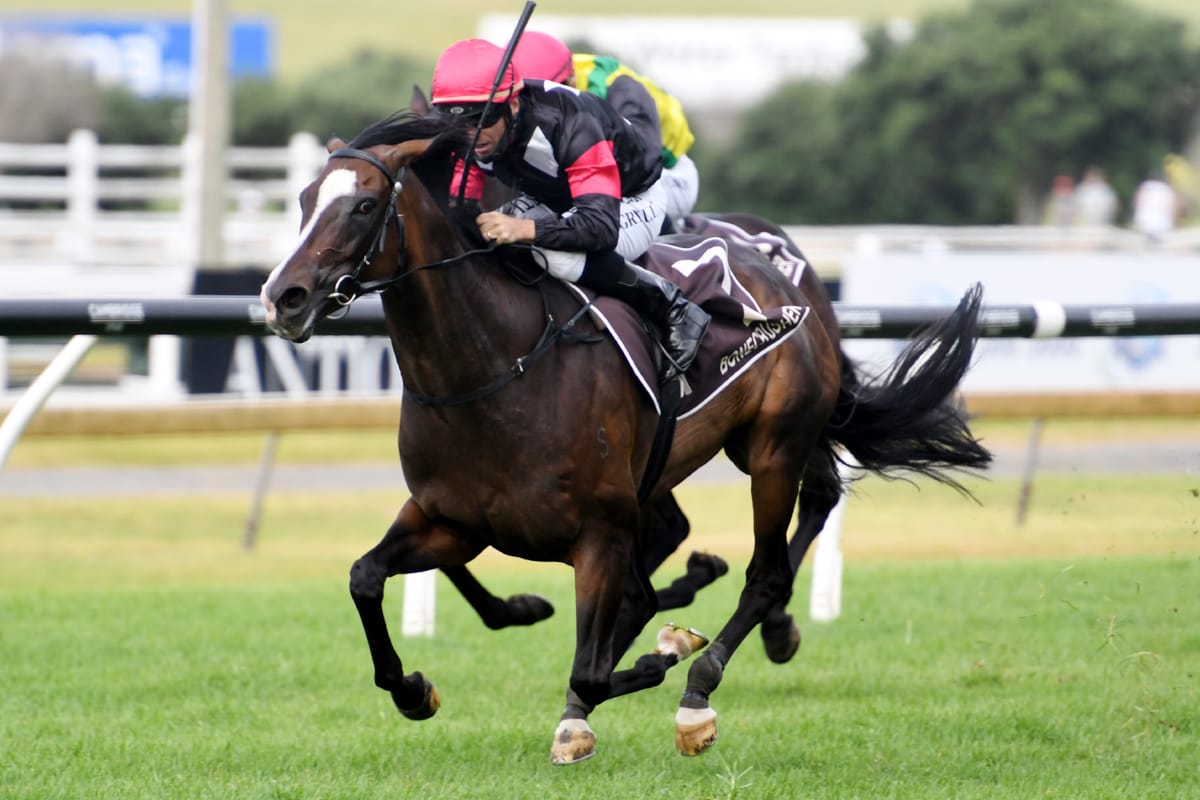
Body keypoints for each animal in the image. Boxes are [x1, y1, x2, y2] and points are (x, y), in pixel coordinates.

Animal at [260, 111, 990, 764]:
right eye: (302, 200)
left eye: (364, 205)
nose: (282, 297)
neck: (496, 368)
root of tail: (793, 280)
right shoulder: (453, 520)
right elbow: (365, 577)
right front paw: (415, 687)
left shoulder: (602, 531)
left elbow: (593, 664)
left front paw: (644, 670)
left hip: (773, 448)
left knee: (770, 570)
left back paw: (702, 689)